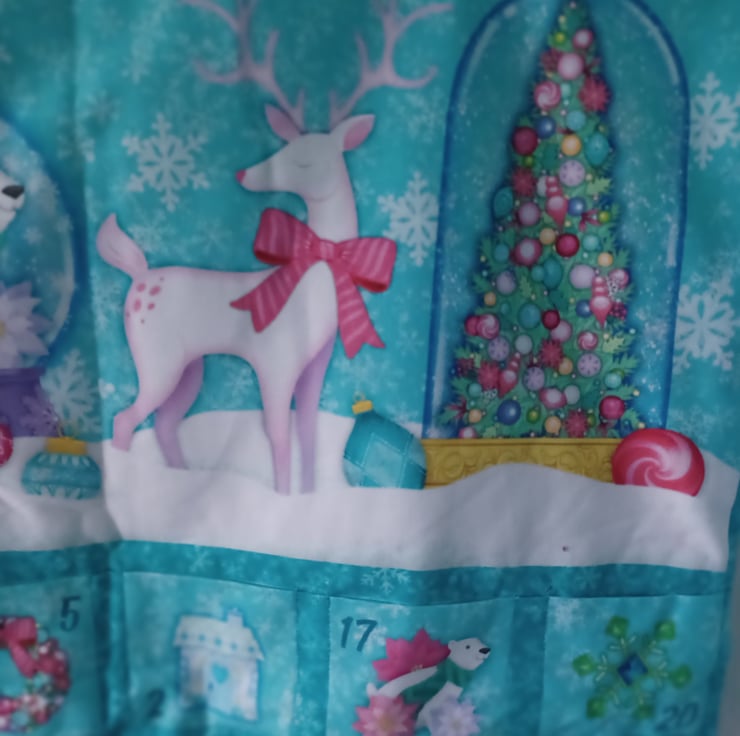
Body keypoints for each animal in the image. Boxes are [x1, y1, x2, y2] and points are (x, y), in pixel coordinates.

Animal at [96, 0, 451, 494]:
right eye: (285, 149)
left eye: (303, 160)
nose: (244, 174)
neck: (316, 277)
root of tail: (138, 275)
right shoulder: (275, 361)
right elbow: (277, 433)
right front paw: (282, 496)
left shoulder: (317, 365)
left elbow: (307, 430)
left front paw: (307, 496)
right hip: (155, 357)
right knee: (124, 419)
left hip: (190, 366)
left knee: (164, 423)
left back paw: (178, 481)